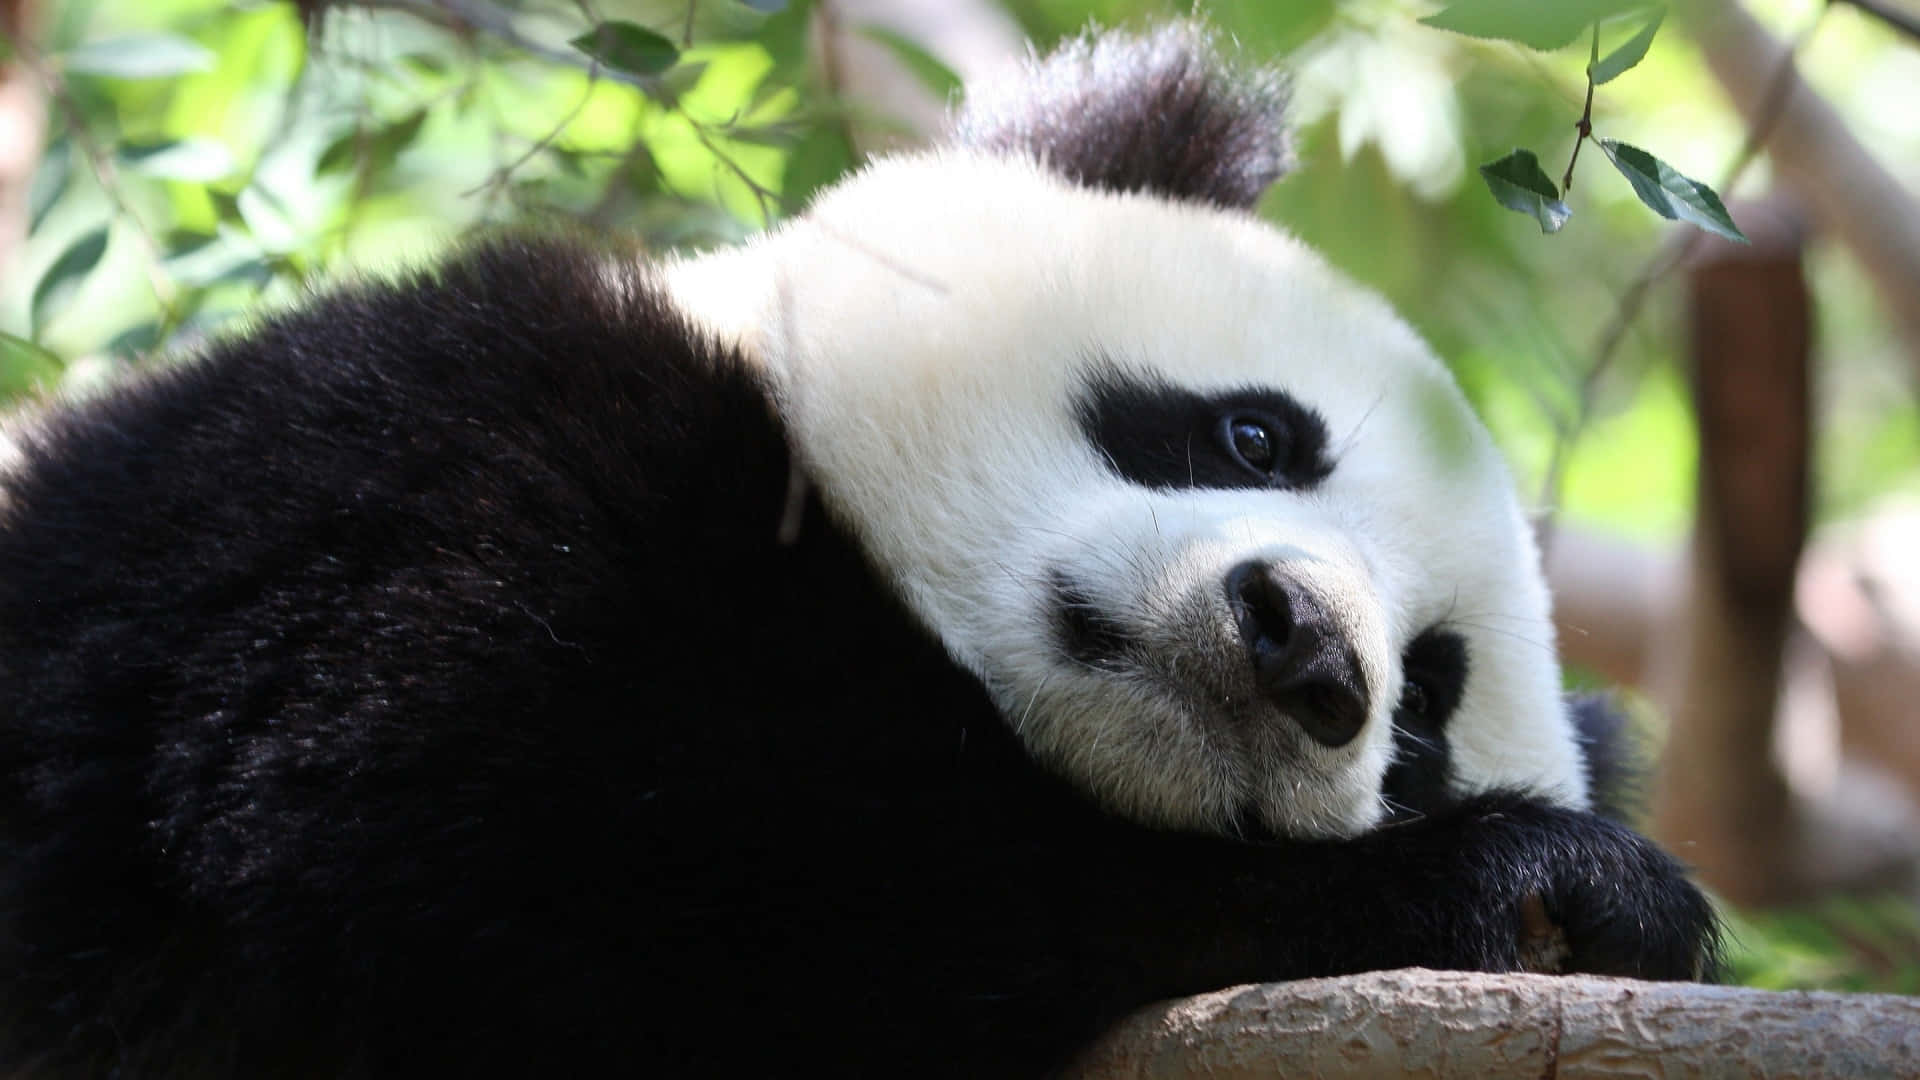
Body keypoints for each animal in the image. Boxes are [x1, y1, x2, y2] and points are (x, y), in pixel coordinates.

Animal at [0, 22, 1714, 1079]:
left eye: (1422, 712)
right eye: (1252, 437)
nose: (1301, 643)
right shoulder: (418, 472)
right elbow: (577, 845)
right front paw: (1532, 884)